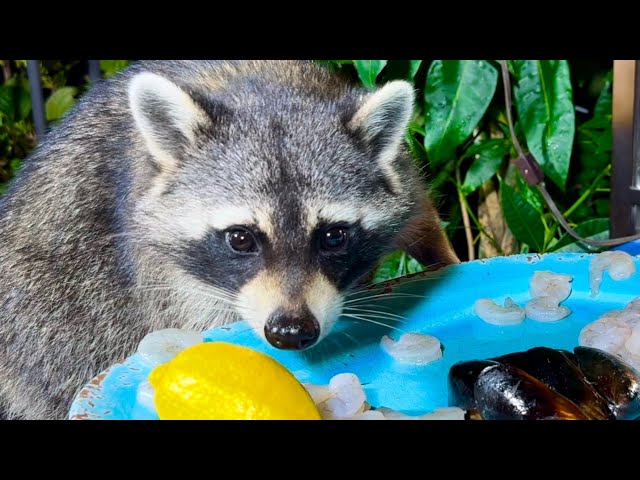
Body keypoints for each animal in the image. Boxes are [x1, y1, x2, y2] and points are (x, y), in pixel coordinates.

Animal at [0, 61, 460, 420]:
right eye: (240, 239)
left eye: (333, 237)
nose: (290, 332)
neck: (268, 89)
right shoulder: (167, 275)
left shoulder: (401, 167)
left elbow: (419, 210)